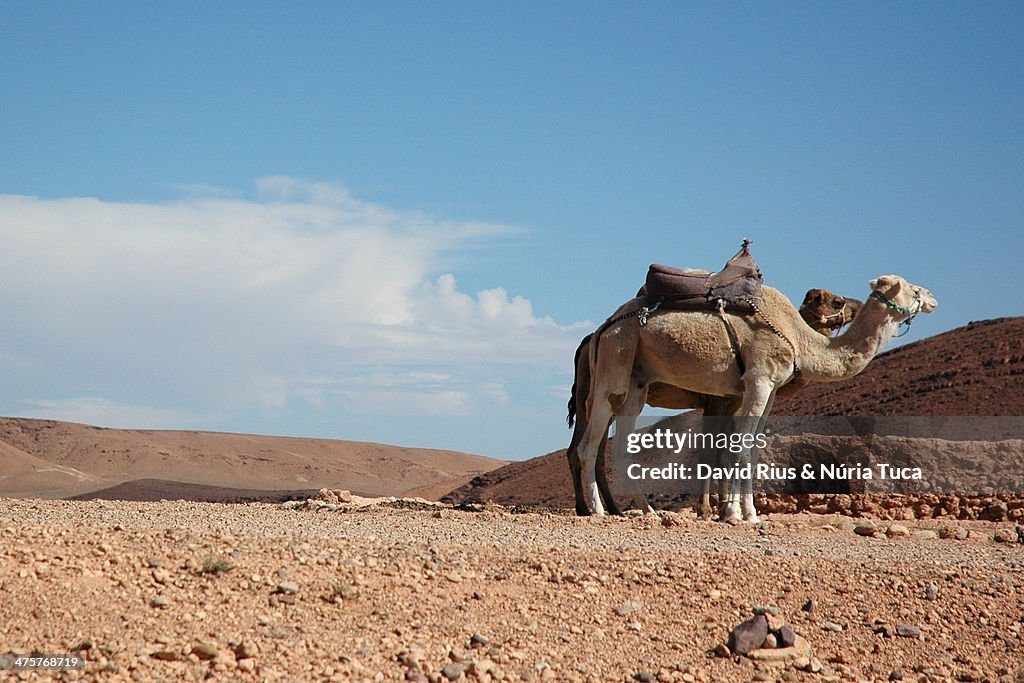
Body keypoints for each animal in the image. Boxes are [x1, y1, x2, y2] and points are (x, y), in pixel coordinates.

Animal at [577, 274, 937, 520]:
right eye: (913, 289)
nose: (934, 297)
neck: (798, 337)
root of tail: (603, 327)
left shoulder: (770, 389)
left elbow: (750, 452)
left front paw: (749, 513)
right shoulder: (758, 379)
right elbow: (737, 448)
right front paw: (732, 513)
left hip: (637, 379)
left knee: (620, 443)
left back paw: (646, 510)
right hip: (616, 355)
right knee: (588, 443)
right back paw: (598, 510)